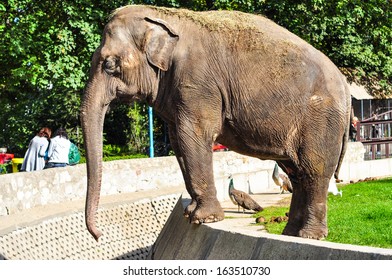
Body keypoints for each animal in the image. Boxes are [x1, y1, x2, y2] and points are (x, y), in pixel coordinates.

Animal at [81, 4, 350, 241]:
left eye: (109, 64)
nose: (99, 235)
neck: (164, 16)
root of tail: (346, 88)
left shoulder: (197, 83)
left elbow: (193, 135)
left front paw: (204, 219)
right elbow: (178, 142)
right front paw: (190, 213)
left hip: (321, 119)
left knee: (314, 170)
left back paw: (309, 235)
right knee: (296, 173)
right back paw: (290, 233)